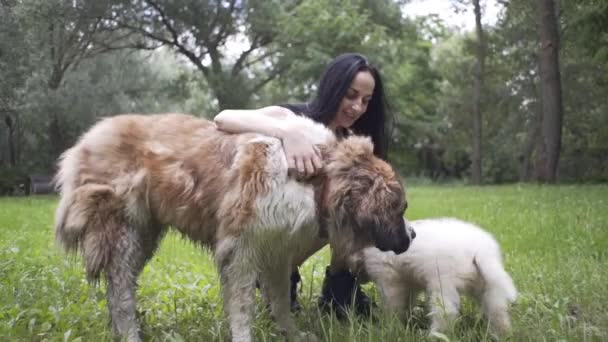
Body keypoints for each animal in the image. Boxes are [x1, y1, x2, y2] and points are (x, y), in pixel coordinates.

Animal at [54, 113, 410, 340]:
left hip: (143, 235)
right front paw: (245, 336)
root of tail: (89, 137)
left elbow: (280, 300)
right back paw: (130, 334)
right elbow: (242, 307)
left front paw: (291, 334)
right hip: (123, 232)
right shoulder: (241, 250)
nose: (413, 235)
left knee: (120, 285)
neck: (318, 181)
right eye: (401, 208)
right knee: (120, 291)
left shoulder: (276, 251)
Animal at [350, 218, 516, 336]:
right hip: (488, 284)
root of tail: (480, 250)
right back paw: (501, 334)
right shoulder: (409, 283)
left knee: (446, 312)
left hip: (443, 283)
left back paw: (432, 335)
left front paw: (391, 324)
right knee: (498, 310)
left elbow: (393, 304)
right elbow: (407, 302)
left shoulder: (389, 279)